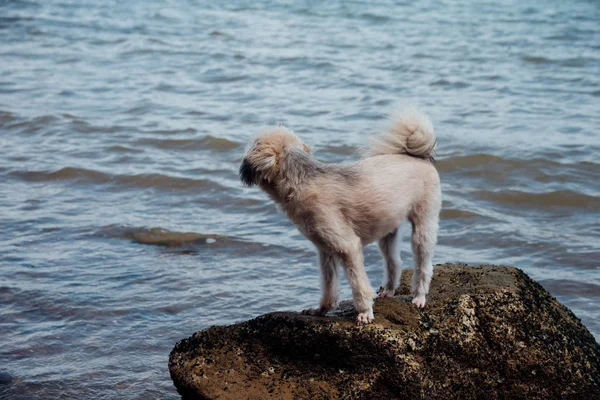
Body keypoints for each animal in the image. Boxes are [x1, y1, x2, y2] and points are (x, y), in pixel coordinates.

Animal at [239, 108, 440, 324]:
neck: (302, 180)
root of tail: (418, 156)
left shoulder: (347, 247)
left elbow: (358, 284)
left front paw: (365, 311)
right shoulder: (326, 250)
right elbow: (329, 286)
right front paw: (321, 310)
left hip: (423, 225)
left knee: (423, 265)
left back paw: (419, 297)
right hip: (388, 229)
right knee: (394, 262)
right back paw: (388, 291)